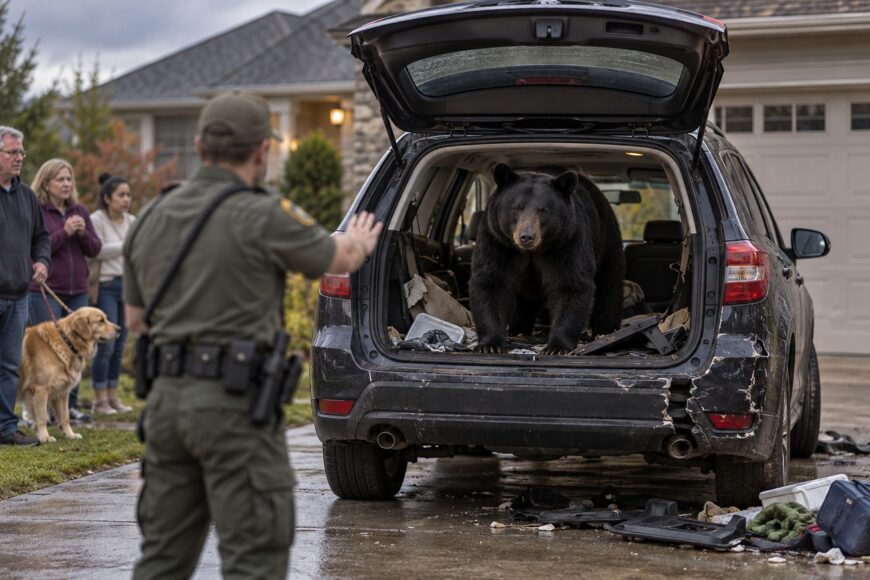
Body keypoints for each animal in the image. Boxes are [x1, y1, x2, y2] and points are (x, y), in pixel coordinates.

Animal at [469, 163, 625, 354]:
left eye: (543, 211)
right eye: (517, 208)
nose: (526, 236)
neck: (533, 251)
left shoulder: (568, 241)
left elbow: (570, 284)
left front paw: (557, 347)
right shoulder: (497, 240)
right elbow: (491, 281)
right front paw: (490, 345)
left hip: (607, 235)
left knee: (609, 282)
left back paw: (605, 330)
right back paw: (518, 329)